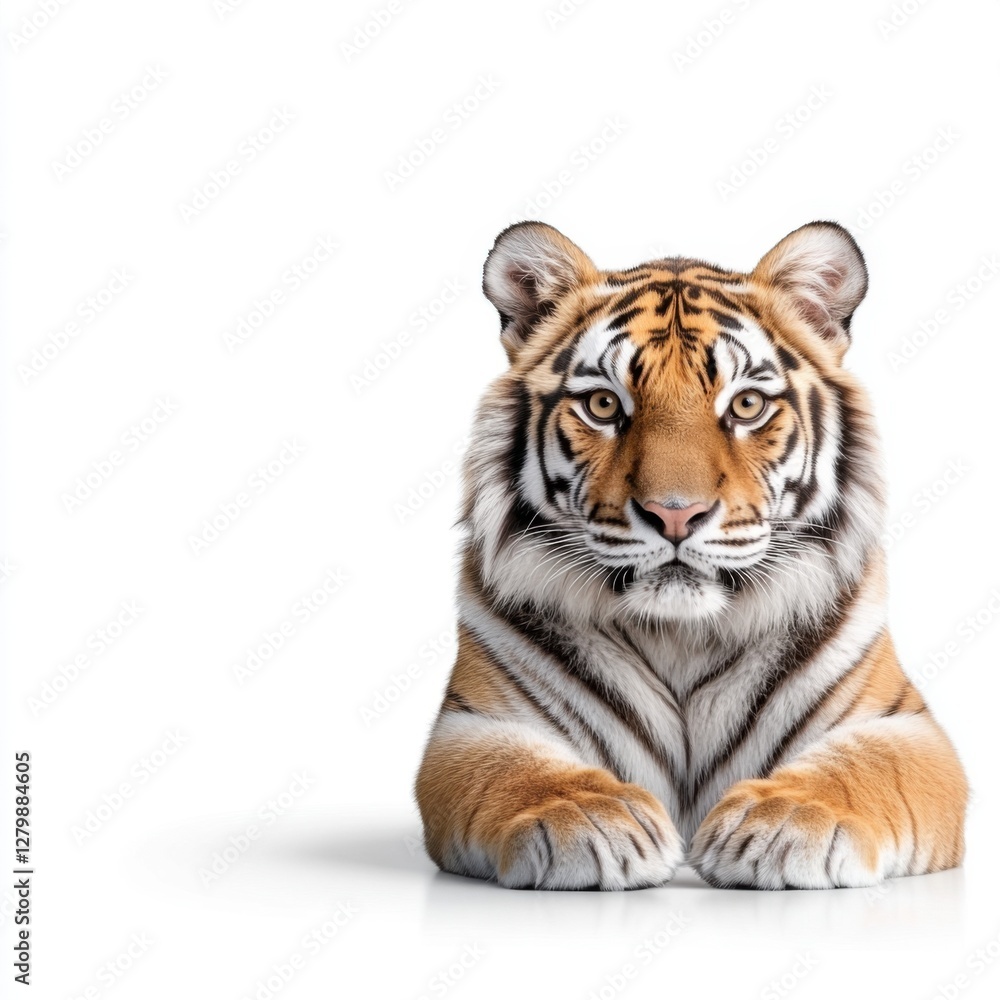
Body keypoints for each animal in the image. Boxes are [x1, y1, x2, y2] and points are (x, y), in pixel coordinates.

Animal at [413, 220, 968, 890]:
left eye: (747, 405)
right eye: (603, 405)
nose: (675, 513)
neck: (678, 635)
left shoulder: (903, 725)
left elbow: (861, 766)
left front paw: (783, 822)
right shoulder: (474, 725)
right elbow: (514, 770)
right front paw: (592, 818)